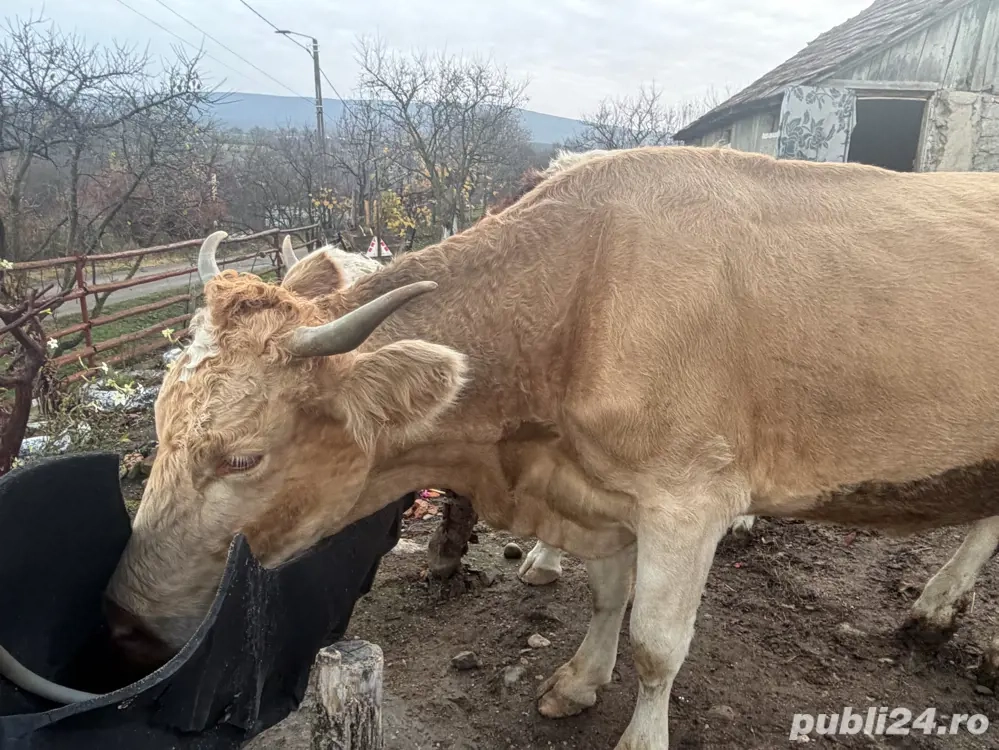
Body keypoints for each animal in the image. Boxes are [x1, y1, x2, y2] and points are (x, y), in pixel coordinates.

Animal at [104, 146, 999, 749]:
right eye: (159, 424)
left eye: (242, 457)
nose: (120, 615)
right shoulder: (603, 493)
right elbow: (607, 597)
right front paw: (577, 680)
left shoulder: (688, 499)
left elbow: (657, 644)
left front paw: (639, 733)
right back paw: (935, 610)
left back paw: (935, 605)